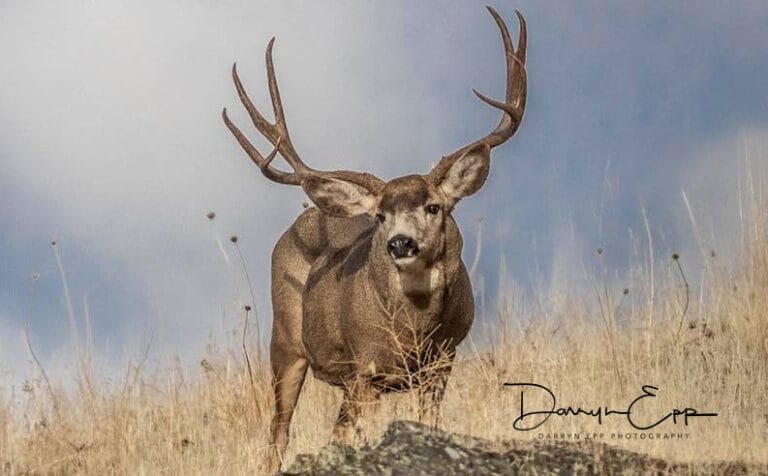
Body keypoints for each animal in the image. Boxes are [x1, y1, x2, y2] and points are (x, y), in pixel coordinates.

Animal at [222, 6, 527, 471]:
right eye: (380, 216)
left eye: (434, 206)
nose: (400, 243)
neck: (412, 331)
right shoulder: (363, 368)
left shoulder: (442, 360)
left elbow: (429, 425)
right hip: (286, 341)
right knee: (278, 433)